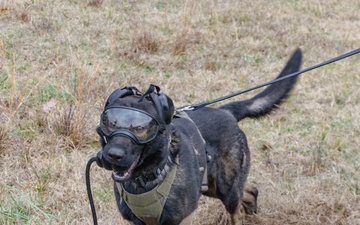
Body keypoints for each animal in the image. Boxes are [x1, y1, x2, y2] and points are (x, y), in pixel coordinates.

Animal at [95, 48, 300, 224]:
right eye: (109, 123)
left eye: (141, 128)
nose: (112, 155)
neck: (146, 178)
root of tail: (227, 112)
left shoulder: (181, 219)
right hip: (214, 187)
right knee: (249, 191)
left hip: (227, 191)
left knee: (237, 205)